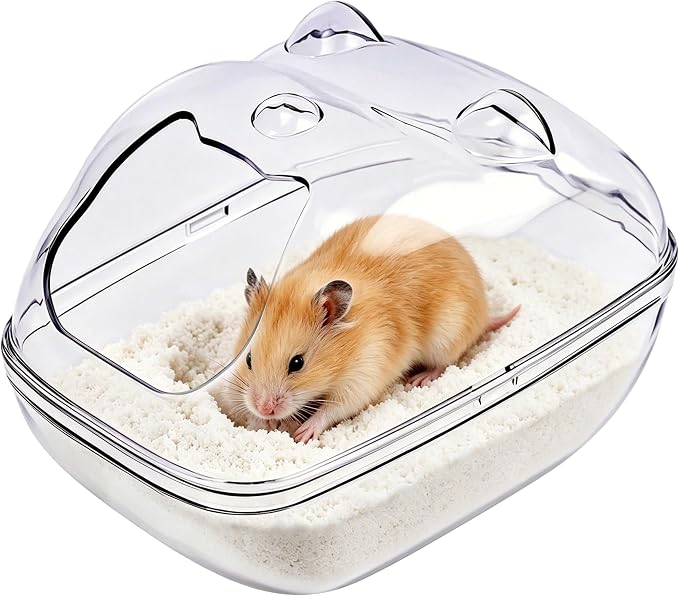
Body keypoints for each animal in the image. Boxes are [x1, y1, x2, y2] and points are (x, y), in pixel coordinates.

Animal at [218, 214, 519, 443]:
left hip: (447, 334)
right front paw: (263, 424)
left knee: (445, 362)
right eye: (248, 359)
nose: (264, 409)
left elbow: (333, 409)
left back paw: (420, 379)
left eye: (297, 363)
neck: (344, 350)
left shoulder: (365, 373)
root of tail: (484, 310)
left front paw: (302, 434)